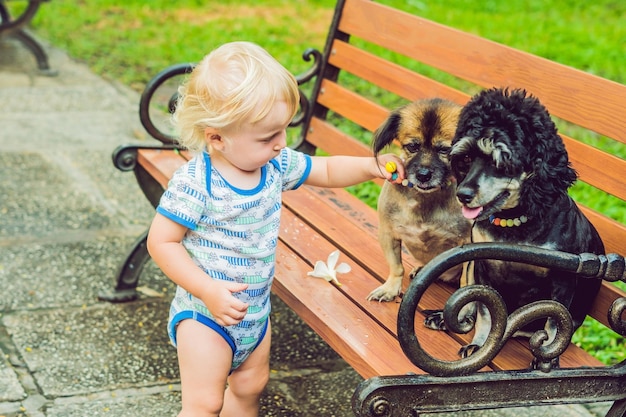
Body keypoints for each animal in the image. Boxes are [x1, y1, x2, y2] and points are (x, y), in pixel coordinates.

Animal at [366, 99, 468, 300]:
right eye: (412, 147)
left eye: (445, 150)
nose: (423, 175)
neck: (425, 198)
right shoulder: (388, 233)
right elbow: (397, 267)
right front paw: (391, 288)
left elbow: (467, 281)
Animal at [424, 88, 600, 364]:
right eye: (466, 158)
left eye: (500, 162)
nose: (462, 194)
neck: (514, 226)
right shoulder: (482, 265)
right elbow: (486, 313)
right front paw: (480, 345)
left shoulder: (563, 281)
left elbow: (554, 322)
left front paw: (547, 357)